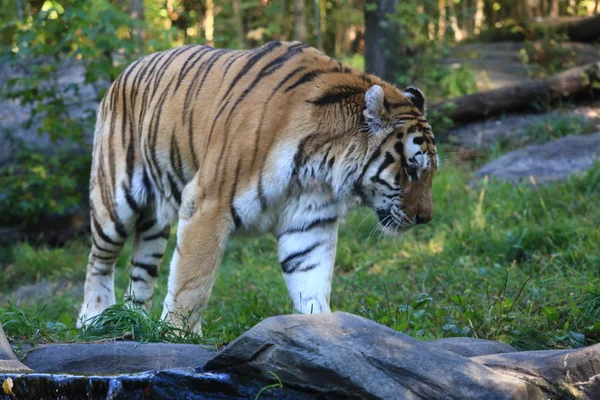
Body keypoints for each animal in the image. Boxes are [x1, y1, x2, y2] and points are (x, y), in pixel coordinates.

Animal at [77, 41, 438, 334]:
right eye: (410, 168)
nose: (426, 218)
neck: (318, 165)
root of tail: (126, 70)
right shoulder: (208, 204)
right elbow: (193, 280)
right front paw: (178, 334)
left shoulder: (310, 221)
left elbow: (312, 275)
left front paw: (322, 329)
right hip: (114, 200)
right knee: (99, 259)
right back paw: (93, 319)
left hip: (155, 221)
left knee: (141, 270)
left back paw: (133, 322)